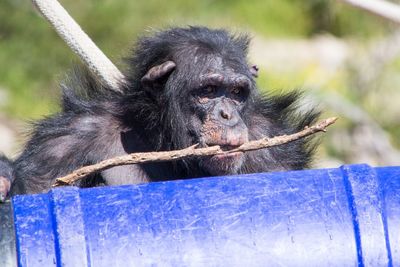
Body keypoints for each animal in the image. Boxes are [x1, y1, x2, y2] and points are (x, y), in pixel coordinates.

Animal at [0, 26, 318, 199]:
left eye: (237, 93)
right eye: (208, 90)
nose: (227, 114)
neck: (165, 141)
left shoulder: (274, 146)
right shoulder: (61, 146)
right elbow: (35, 190)